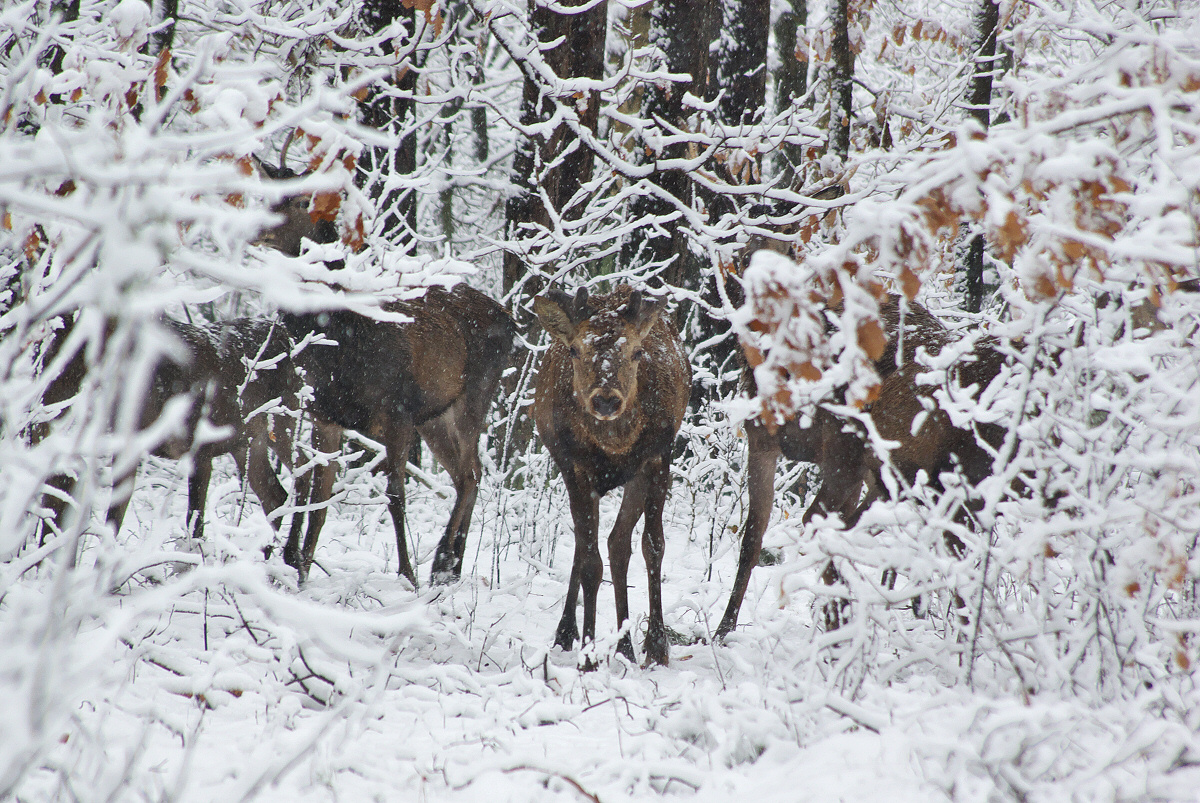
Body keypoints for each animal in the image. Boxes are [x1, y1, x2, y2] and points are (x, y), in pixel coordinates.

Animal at [537, 284, 696, 667]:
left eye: (637, 351)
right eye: (575, 349)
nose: (606, 399)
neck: (614, 446)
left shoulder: (657, 458)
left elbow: (653, 546)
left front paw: (657, 647)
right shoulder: (574, 466)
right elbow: (590, 563)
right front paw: (588, 657)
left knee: (617, 543)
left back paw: (625, 646)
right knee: (585, 545)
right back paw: (567, 632)